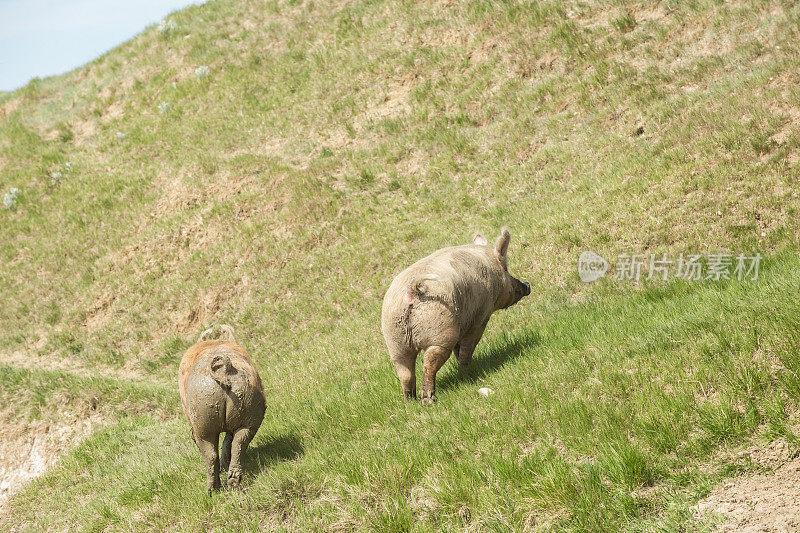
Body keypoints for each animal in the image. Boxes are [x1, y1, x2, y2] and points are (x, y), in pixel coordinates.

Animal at [178, 322, 266, 492]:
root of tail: (224, 370)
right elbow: (228, 440)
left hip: (202, 419)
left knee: (210, 453)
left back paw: (212, 490)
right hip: (248, 408)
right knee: (239, 443)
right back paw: (232, 481)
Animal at [382, 228, 532, 404]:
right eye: (506, 269)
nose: (527, 285)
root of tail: (411, 291)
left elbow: (458, 348)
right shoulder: (480, 317)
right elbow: (468, 346)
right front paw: (466, 369)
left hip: (395, 341)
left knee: (405, 372)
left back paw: (410, 401)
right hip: (441, 331)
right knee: (429, 361)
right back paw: (429, 400)